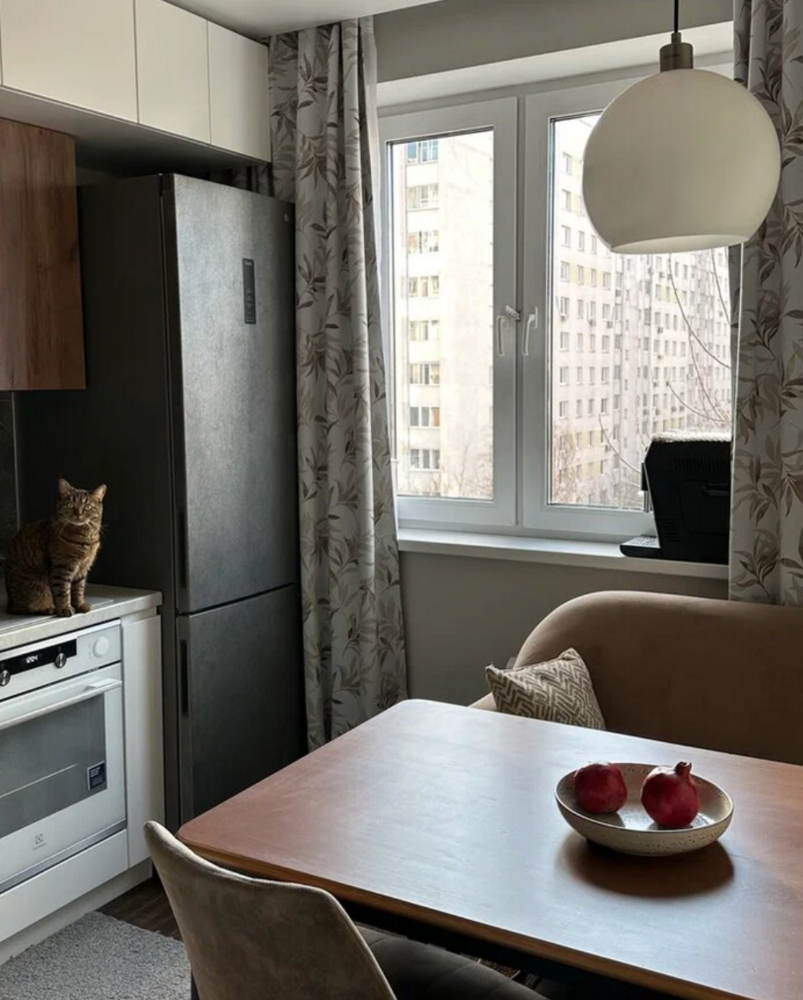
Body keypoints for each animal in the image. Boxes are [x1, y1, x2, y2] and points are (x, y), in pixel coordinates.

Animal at [5, 479, 107, 617]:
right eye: (70, 505)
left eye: (87, 507)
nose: (78, 514)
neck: (84, 537)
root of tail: (9, 603)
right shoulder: (62, 567)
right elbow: (63, 591)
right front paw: (65, 608)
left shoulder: (83, 569)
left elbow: (78, 589)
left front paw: (79, 605)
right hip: (34, 586)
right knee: (25, 607)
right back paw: (48, 608)